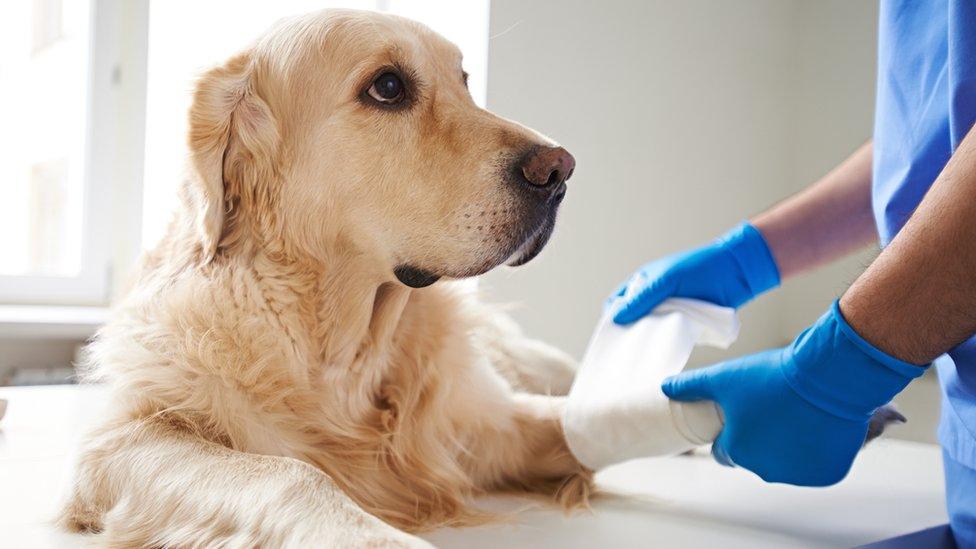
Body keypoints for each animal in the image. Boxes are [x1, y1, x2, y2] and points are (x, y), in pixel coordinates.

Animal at [65, 8, 592, 548]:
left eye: (464, 81)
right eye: (388, 86)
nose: (560, 170)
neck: (342, 354)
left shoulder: (482, 422)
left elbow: (577, 423)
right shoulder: (124, 439)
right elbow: (292, 474)